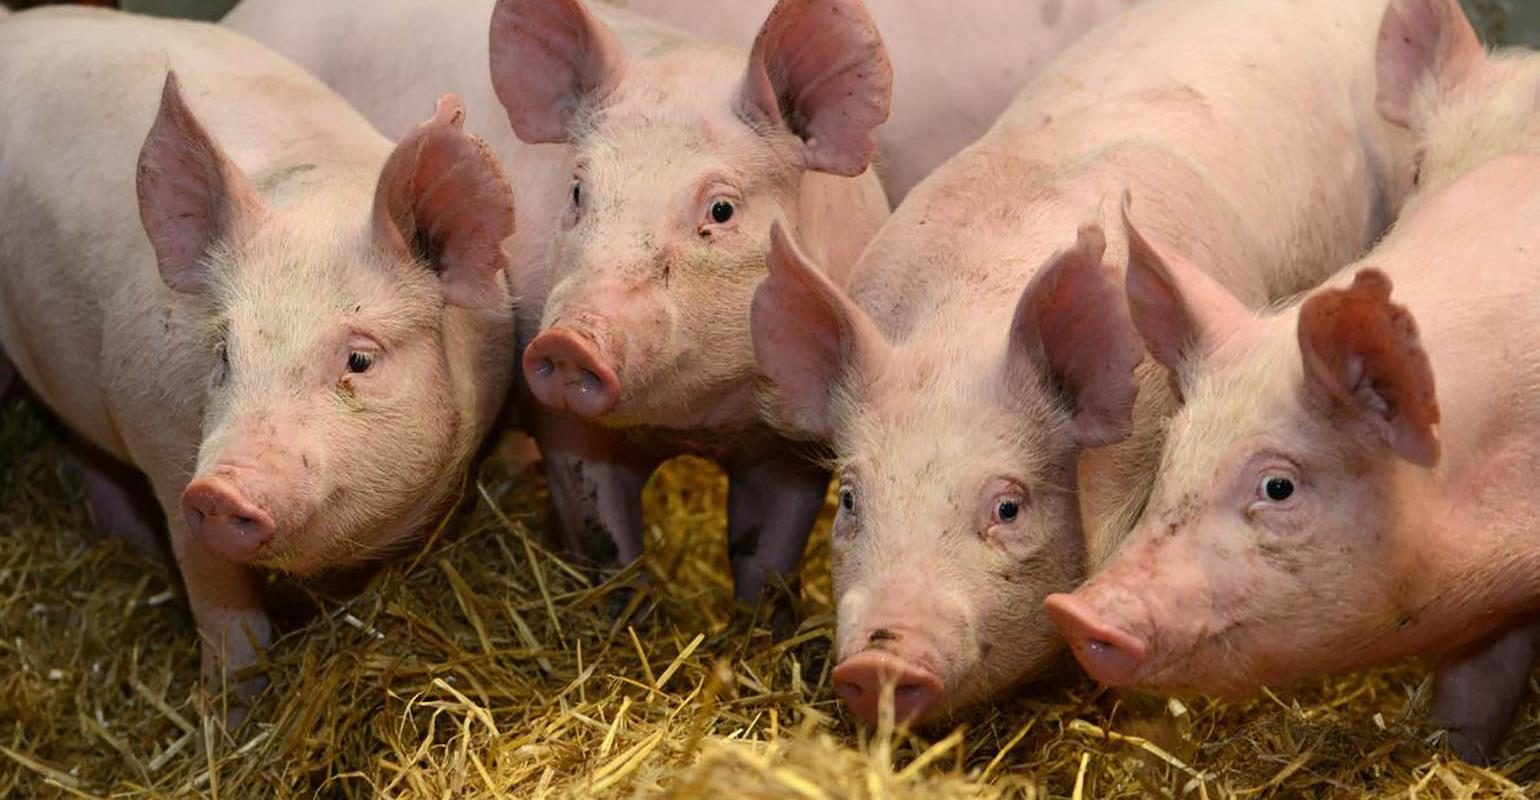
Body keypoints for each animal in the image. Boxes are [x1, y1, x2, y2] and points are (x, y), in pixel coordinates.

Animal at [0, 8, 516, 704]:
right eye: (223, 353)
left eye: (359, 361)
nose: (221, 488)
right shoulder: (166, 457)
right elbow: (222, 608)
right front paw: (232, 711)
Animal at [224, 0, 892, 607]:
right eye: (577, 191)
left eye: (721, 210)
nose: (569, 341)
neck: (699, 422)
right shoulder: (563, 425)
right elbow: (606, 545)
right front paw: (625, 614)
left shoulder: (791, 448)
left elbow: (766, 562)